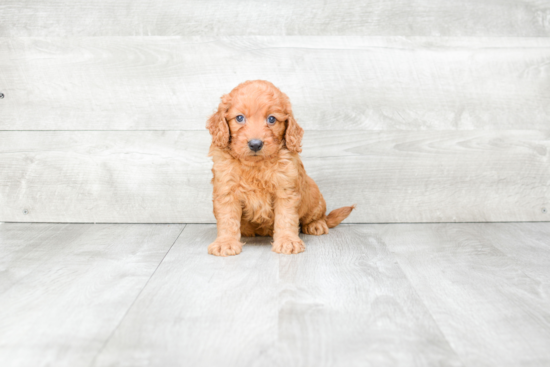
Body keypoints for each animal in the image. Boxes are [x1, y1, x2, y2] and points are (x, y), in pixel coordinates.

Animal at [206, 80, 354, 256]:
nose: (255, 144)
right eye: (240, 118)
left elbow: (286, 218)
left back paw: (315, 224)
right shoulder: (227, 190)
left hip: (313, 196)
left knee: (318, 215)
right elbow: (227, 219)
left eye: (271, 119)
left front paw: (287, 241)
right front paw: (225, 243)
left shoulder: (285, 190)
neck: (255, 165)